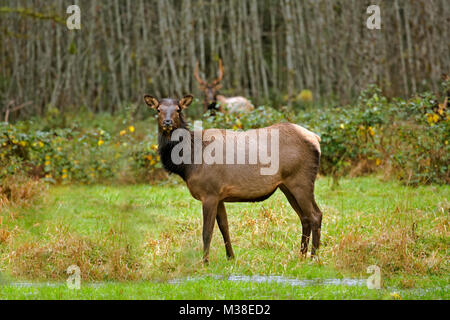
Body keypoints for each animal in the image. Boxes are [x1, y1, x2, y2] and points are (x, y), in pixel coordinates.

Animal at [142, 94, 322, 264]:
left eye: (178, 109)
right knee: (304, 217)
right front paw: (231, 257)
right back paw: (301, 255)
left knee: (315, 215)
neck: (188, 164)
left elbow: (207, 231)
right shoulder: (219, 195)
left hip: (301, 180)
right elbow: (224, 227)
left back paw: (313, 257)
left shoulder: (209, 192)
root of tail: (316, 138)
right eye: (158, 109)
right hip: (286, 186)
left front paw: (205, 262)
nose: (167, 122)